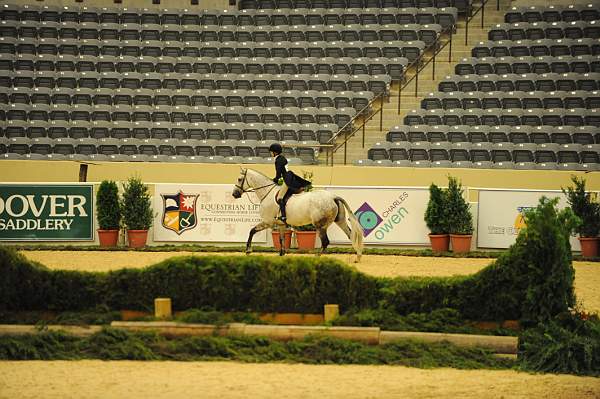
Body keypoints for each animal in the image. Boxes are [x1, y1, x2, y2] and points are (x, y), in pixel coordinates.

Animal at [233, 167, 366, 260]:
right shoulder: (280, 224)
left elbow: (252, 231)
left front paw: (248, 250)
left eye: (239, 179)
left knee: (325, 241)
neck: (267, 193)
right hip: (340, 221)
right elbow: (281, 239)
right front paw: (281, 254)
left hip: (320, 225)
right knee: (350, 235)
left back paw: (317, 257)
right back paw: (358, 257)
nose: (234, 194)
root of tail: (333, 197)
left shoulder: (268, 222)